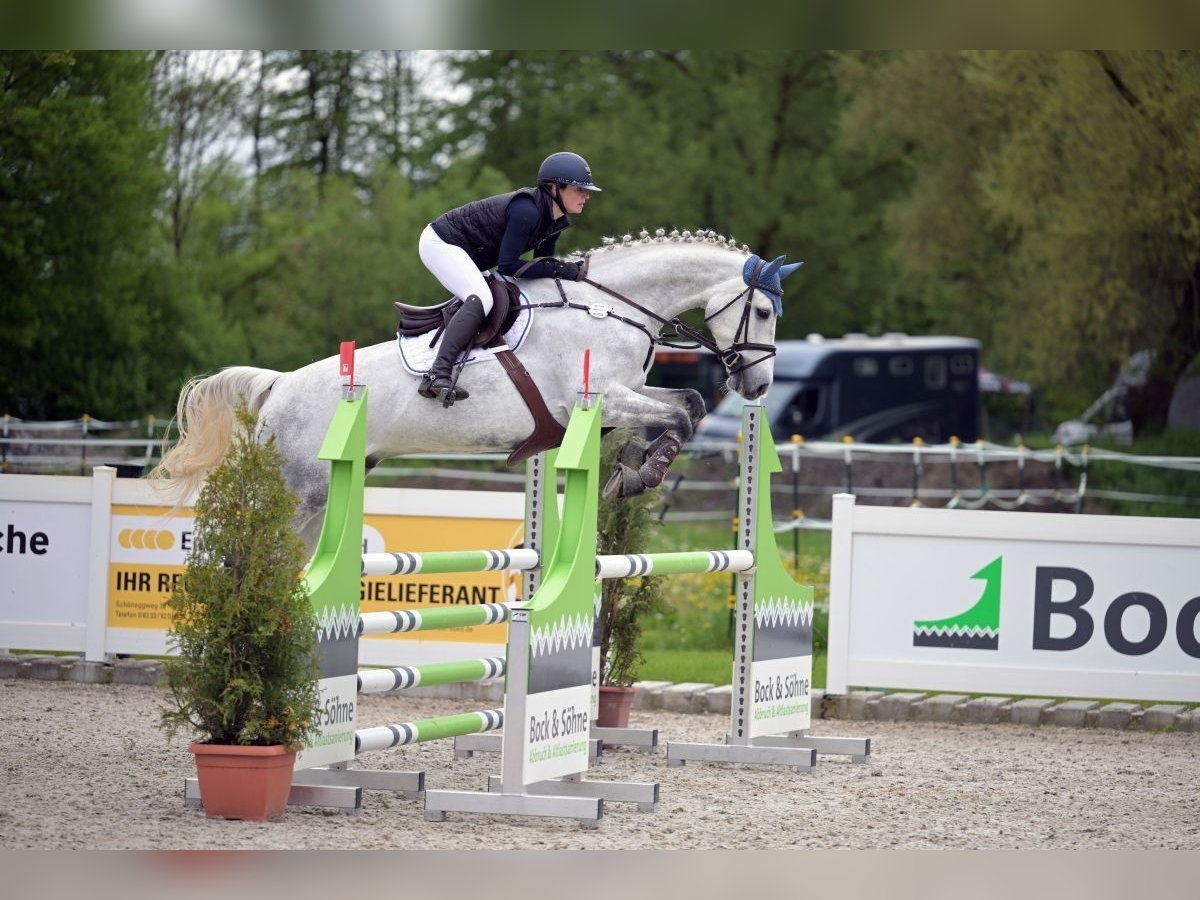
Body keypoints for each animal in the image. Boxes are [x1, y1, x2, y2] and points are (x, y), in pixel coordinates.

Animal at [154, 229, 801, 554]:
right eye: (764, 312)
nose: (759, 383)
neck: (612, 307)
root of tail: (280, 385)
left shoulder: (624, 398)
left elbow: (685, 407)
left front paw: (634, 469)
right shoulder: (601, 399)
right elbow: (686, 414)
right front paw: (634, 477)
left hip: (322, 493)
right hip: (298, 490)